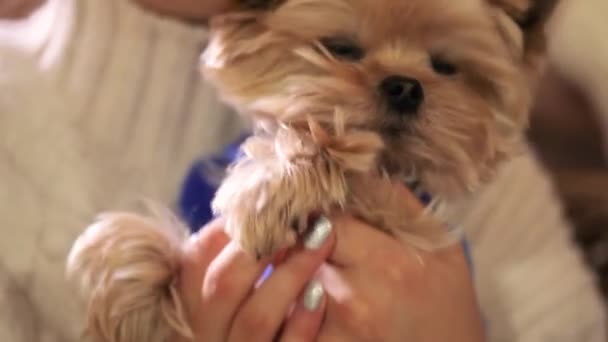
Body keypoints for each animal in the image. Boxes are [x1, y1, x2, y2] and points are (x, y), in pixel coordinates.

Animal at [65, 0, 556, 340]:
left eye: (445, 66)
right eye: (341, 49)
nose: (405, 86)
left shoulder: (414, 222)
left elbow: (362, 176)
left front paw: (271, 190)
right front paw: (127, 275)